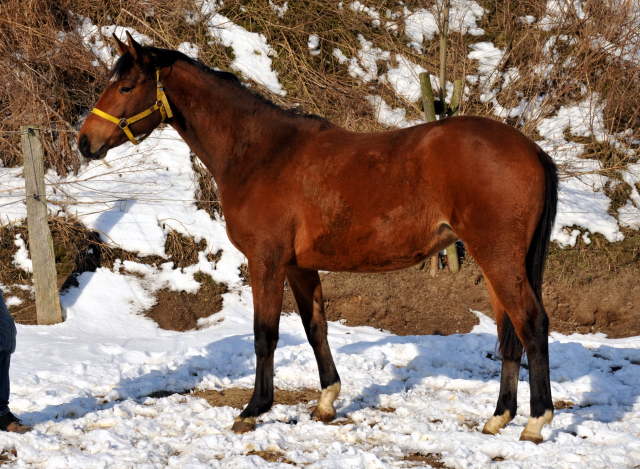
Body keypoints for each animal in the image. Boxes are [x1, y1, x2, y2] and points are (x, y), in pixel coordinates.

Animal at [80, 33, 556, 442]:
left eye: (125, 86)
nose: (85, 142)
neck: (260, 154)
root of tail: (530, 149)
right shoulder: (298, 266)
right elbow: (315, 329)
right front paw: (326, 402)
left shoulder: (266, 261)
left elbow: (265, 334)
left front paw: (253, 409)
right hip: (497, 262)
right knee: (509, 331)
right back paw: (499, 417)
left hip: (498, 257)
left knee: (531, 324)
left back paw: (536, 422)